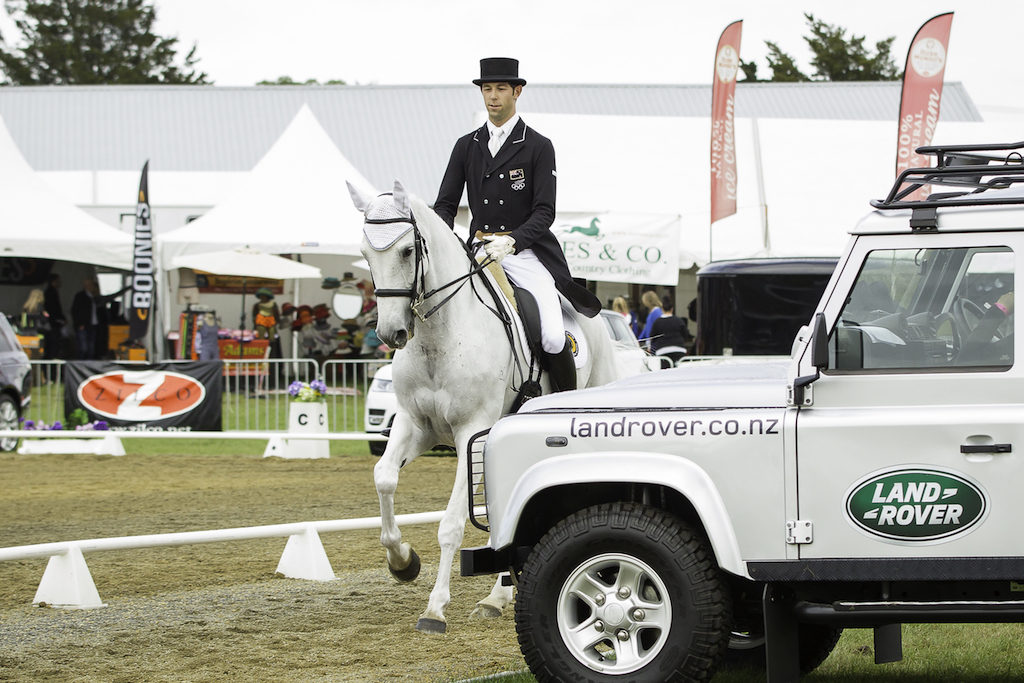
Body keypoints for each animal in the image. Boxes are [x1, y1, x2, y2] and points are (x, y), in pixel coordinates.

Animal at [348, 180, 622, 634]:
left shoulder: (469, 432)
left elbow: (451, 524)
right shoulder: (414, 424)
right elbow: (384, 477)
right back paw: (496, 597)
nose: (392, 333)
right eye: (366, 254)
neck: (440, 336)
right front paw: (402, 562)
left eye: (405, 251)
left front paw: (435, 609)